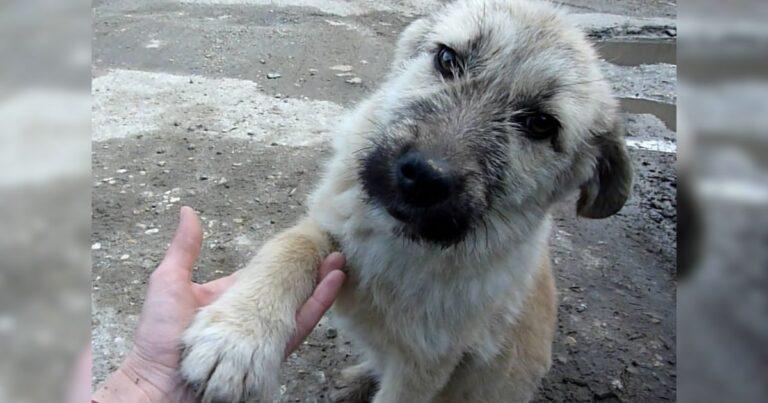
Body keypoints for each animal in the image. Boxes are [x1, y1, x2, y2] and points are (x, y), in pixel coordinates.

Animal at [178, 1, 632, 402]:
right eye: (448, 59)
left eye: (540, 124)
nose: (425, 177)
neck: (400, 244)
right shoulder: (332, 225)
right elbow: (288, 248)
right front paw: (238, 337)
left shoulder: (425, 366)